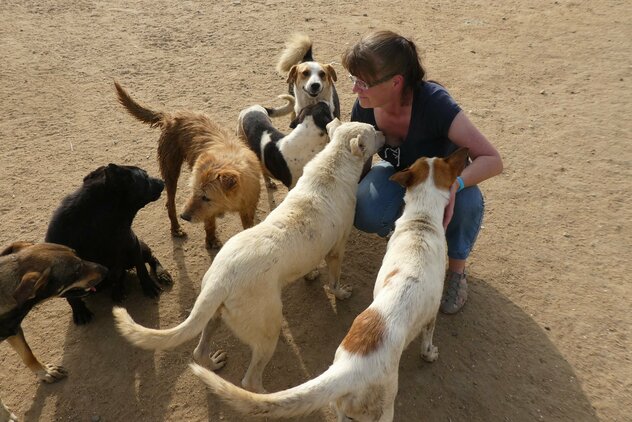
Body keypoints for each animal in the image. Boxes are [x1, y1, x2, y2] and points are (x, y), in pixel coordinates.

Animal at [0, 241, 107, 418]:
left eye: (76, 253)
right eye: (76, 270)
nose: (106, 270)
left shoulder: (12, 329)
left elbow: (28, 355)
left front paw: (45, 372)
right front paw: (8, 417)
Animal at [44, 163, 173, 324]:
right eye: (145, 177)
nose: (163, 180)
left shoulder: (133, 245)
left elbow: (141, 269)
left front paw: (148, 286)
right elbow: (72, 298)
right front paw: (80, 310)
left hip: (141, 249)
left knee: (149, 259)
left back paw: (160, 274)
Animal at [113, 120, 386, 394]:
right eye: (372, 131)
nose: (385, 132)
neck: (332, 165)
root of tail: (220, 280)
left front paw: (311, 275)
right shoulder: (337, 249)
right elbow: (335, 281)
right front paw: (341, 293)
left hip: (214, 313)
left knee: (198, 351)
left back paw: (212, 362)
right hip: (268, 328)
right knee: (250, 380)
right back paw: (267, 396)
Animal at [114, 81, 262, 249]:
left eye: (206, 197)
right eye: (193, 191)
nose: (184, 216)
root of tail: (171, 116)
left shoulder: (248, 207)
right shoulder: (208, 211)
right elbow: (209, 224)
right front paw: (211, 240)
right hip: (170, 171)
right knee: (170, 203)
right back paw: (176, 229)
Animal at [188, 148, 470, 422]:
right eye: (446, 160)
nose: (464, 152)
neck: (420, 223)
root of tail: (346, 370)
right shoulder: (430, 316)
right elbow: (427, 341)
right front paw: (430, 354)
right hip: (378, 406)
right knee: (251, 379)